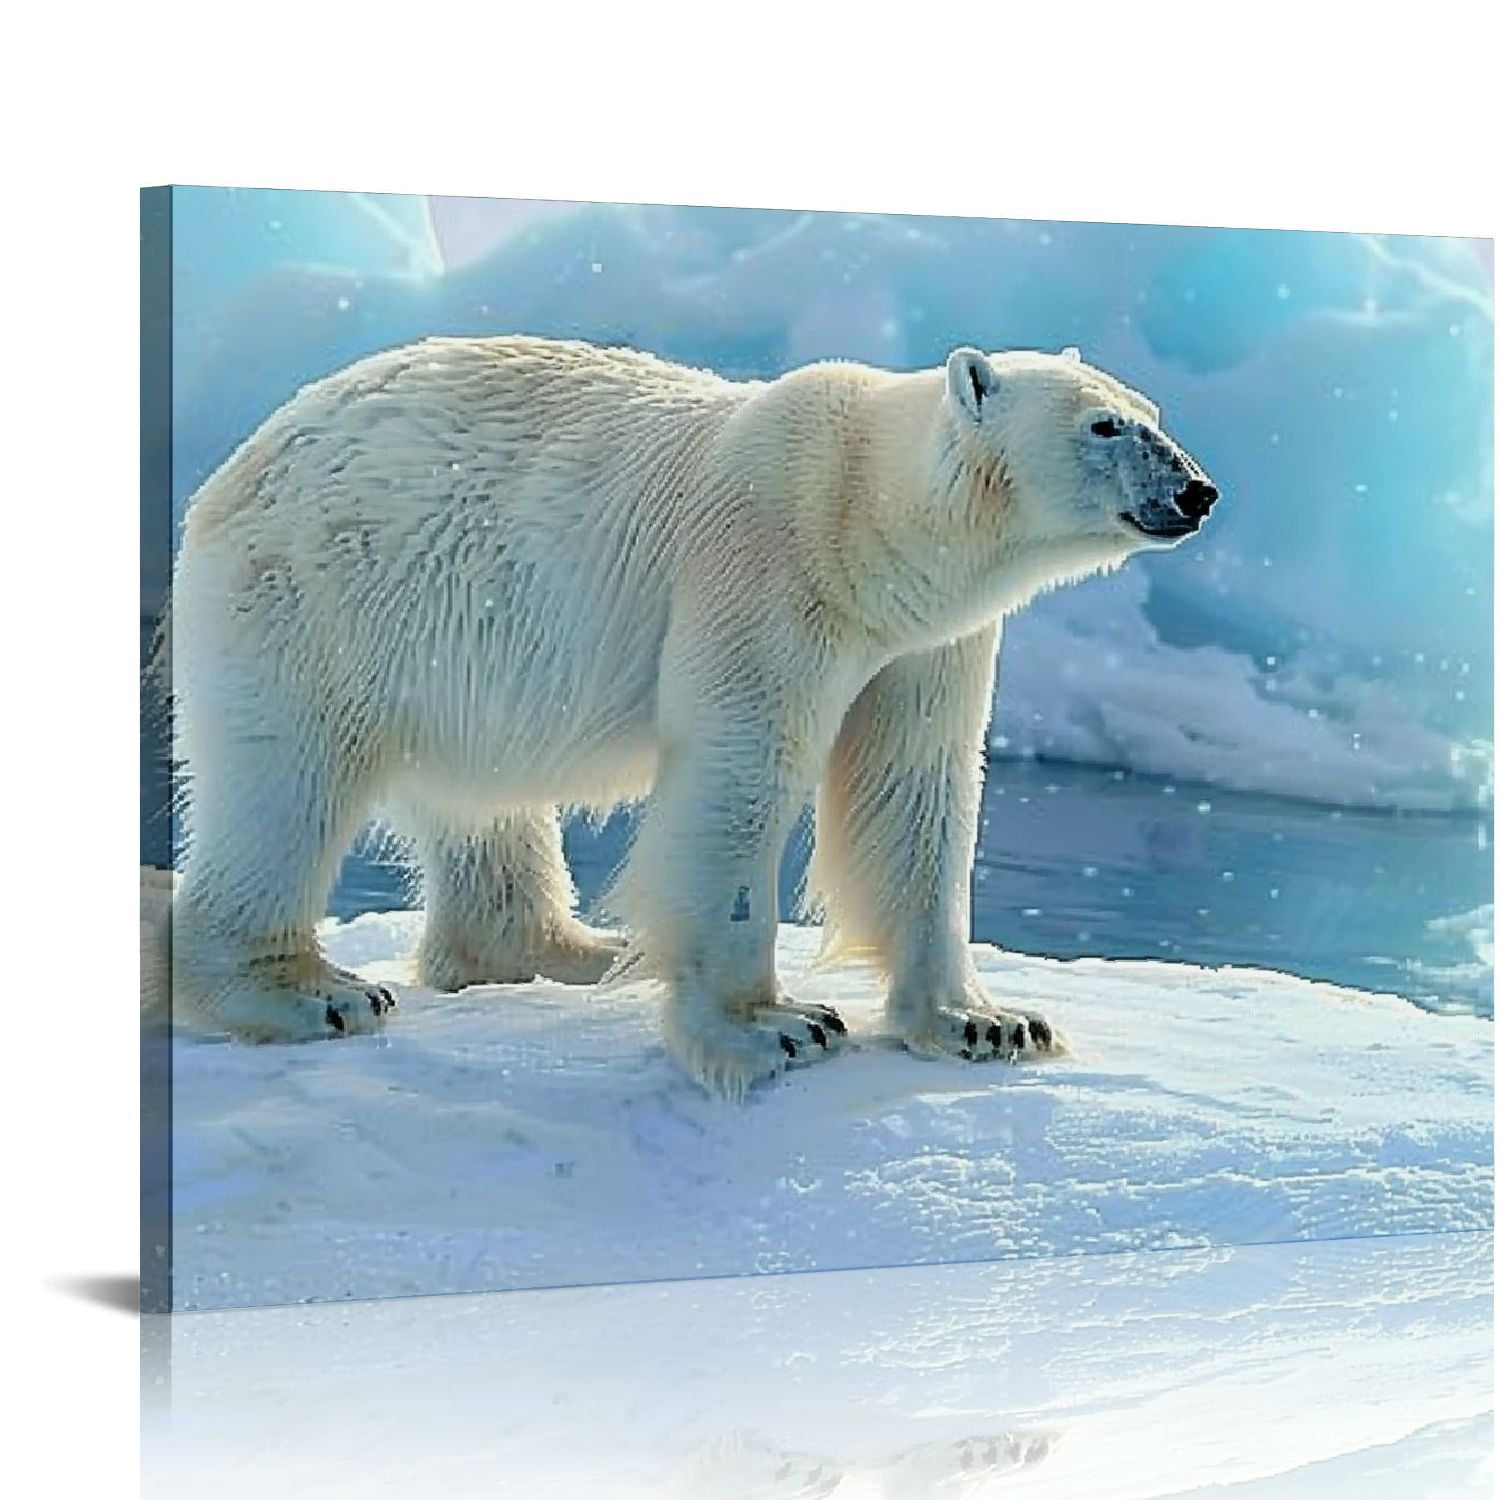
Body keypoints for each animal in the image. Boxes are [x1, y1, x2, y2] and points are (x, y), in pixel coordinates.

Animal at [168, 335, 1218, 1097]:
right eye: (1105, 426)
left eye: (1152, 414)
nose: (1197, 490)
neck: (864, 514)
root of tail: (242, 459)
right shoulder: (766, 570)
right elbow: (741, 770)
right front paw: (775, 1027)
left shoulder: (929, 643)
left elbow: (914, 788)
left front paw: (991, 1022)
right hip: (320, 596)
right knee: (286, 781)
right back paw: (309, 992)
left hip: (446, 650)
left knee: (483, 802)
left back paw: (570, 951)